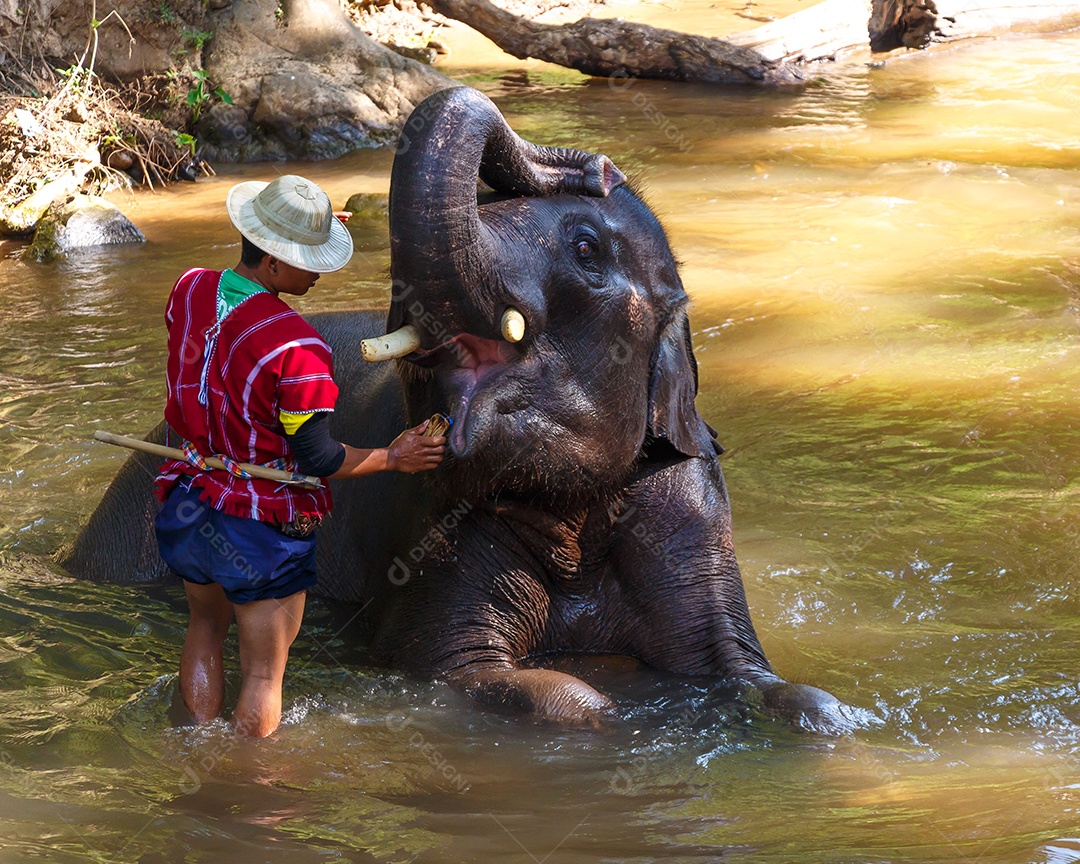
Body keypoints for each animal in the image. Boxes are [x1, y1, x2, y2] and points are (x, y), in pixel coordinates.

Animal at [59, 86, 856, 733]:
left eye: (586, 248)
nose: (600, 167)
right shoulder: (435, 532)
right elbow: (487, 678)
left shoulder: (689, 513)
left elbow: (752, 673)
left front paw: (836, 722)